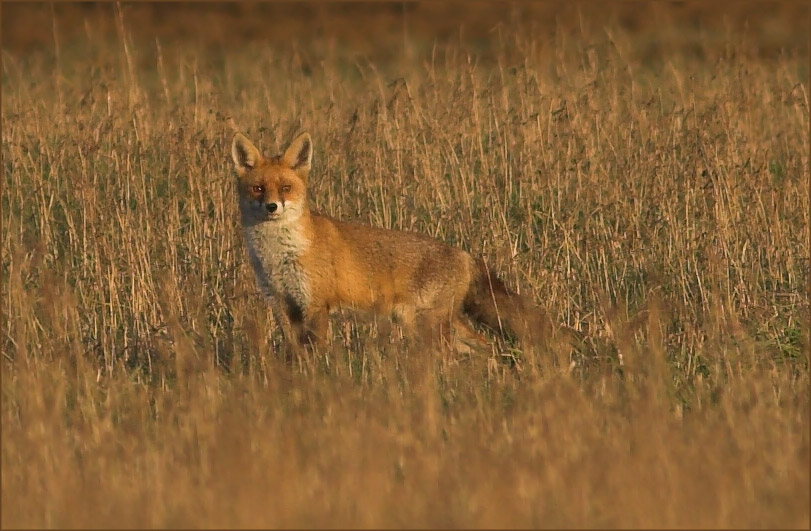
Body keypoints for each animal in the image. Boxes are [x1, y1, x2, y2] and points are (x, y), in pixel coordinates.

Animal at [232, 129, 556, 354]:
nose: (272, 207)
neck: (278, 255)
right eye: (258, 188)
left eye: (286, 188)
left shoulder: (315, 306)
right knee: (483, 347)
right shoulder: (283, 306)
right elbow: (293, 354)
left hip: (424, 324)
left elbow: (315, 353)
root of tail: (464, 254)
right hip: (432, 323)